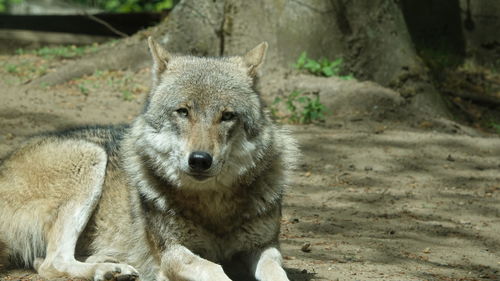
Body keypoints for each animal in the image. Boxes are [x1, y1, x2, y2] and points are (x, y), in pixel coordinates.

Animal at [0, 37, 296, 280]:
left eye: (227, 116)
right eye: (183, 112)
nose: (200, 160)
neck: (213, 206)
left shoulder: (264, 247)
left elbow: (276, 272)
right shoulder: (171, 253)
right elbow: (214, 270)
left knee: (43, 262)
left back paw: (110, 265)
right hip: (90, 158)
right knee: (52, 263)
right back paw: (108, 270)